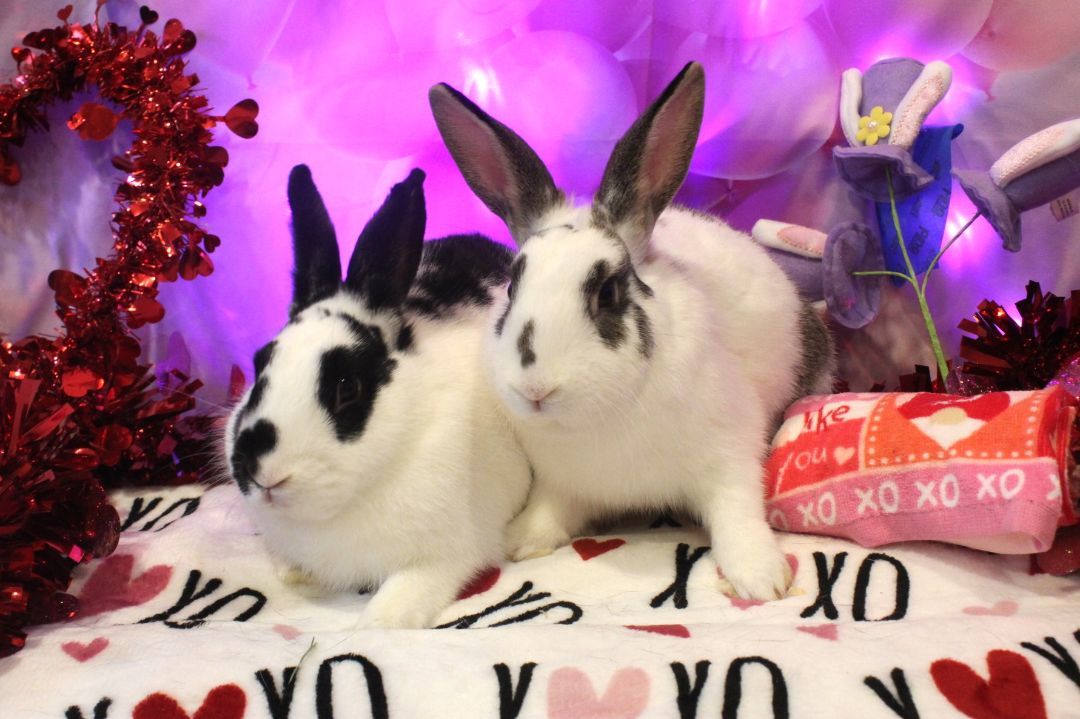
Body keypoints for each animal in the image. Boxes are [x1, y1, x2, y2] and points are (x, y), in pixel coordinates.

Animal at [223, 164, 531, 628]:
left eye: (346, 387)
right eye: (260, 365)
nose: (263, 473)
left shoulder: (444, 556)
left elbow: (405, 594)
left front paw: (378, 624)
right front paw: (295, 574)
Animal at [429, 62, 836, 601]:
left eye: (607, 293)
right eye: (511, 287)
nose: (536, 390)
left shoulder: (731, 455)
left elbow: (737, 510)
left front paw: (761, 578)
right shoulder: (562, 481)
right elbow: (550, 509)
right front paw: (520, 540)